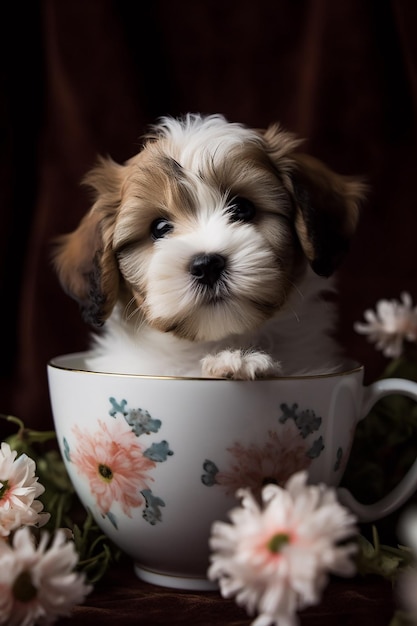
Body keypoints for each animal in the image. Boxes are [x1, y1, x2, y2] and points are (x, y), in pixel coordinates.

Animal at [52, 112, 364, 378]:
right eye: (159, 228)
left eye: (243, 208)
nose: (207, 265)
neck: (218, 342)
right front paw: (235, 362)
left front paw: (239, 362)